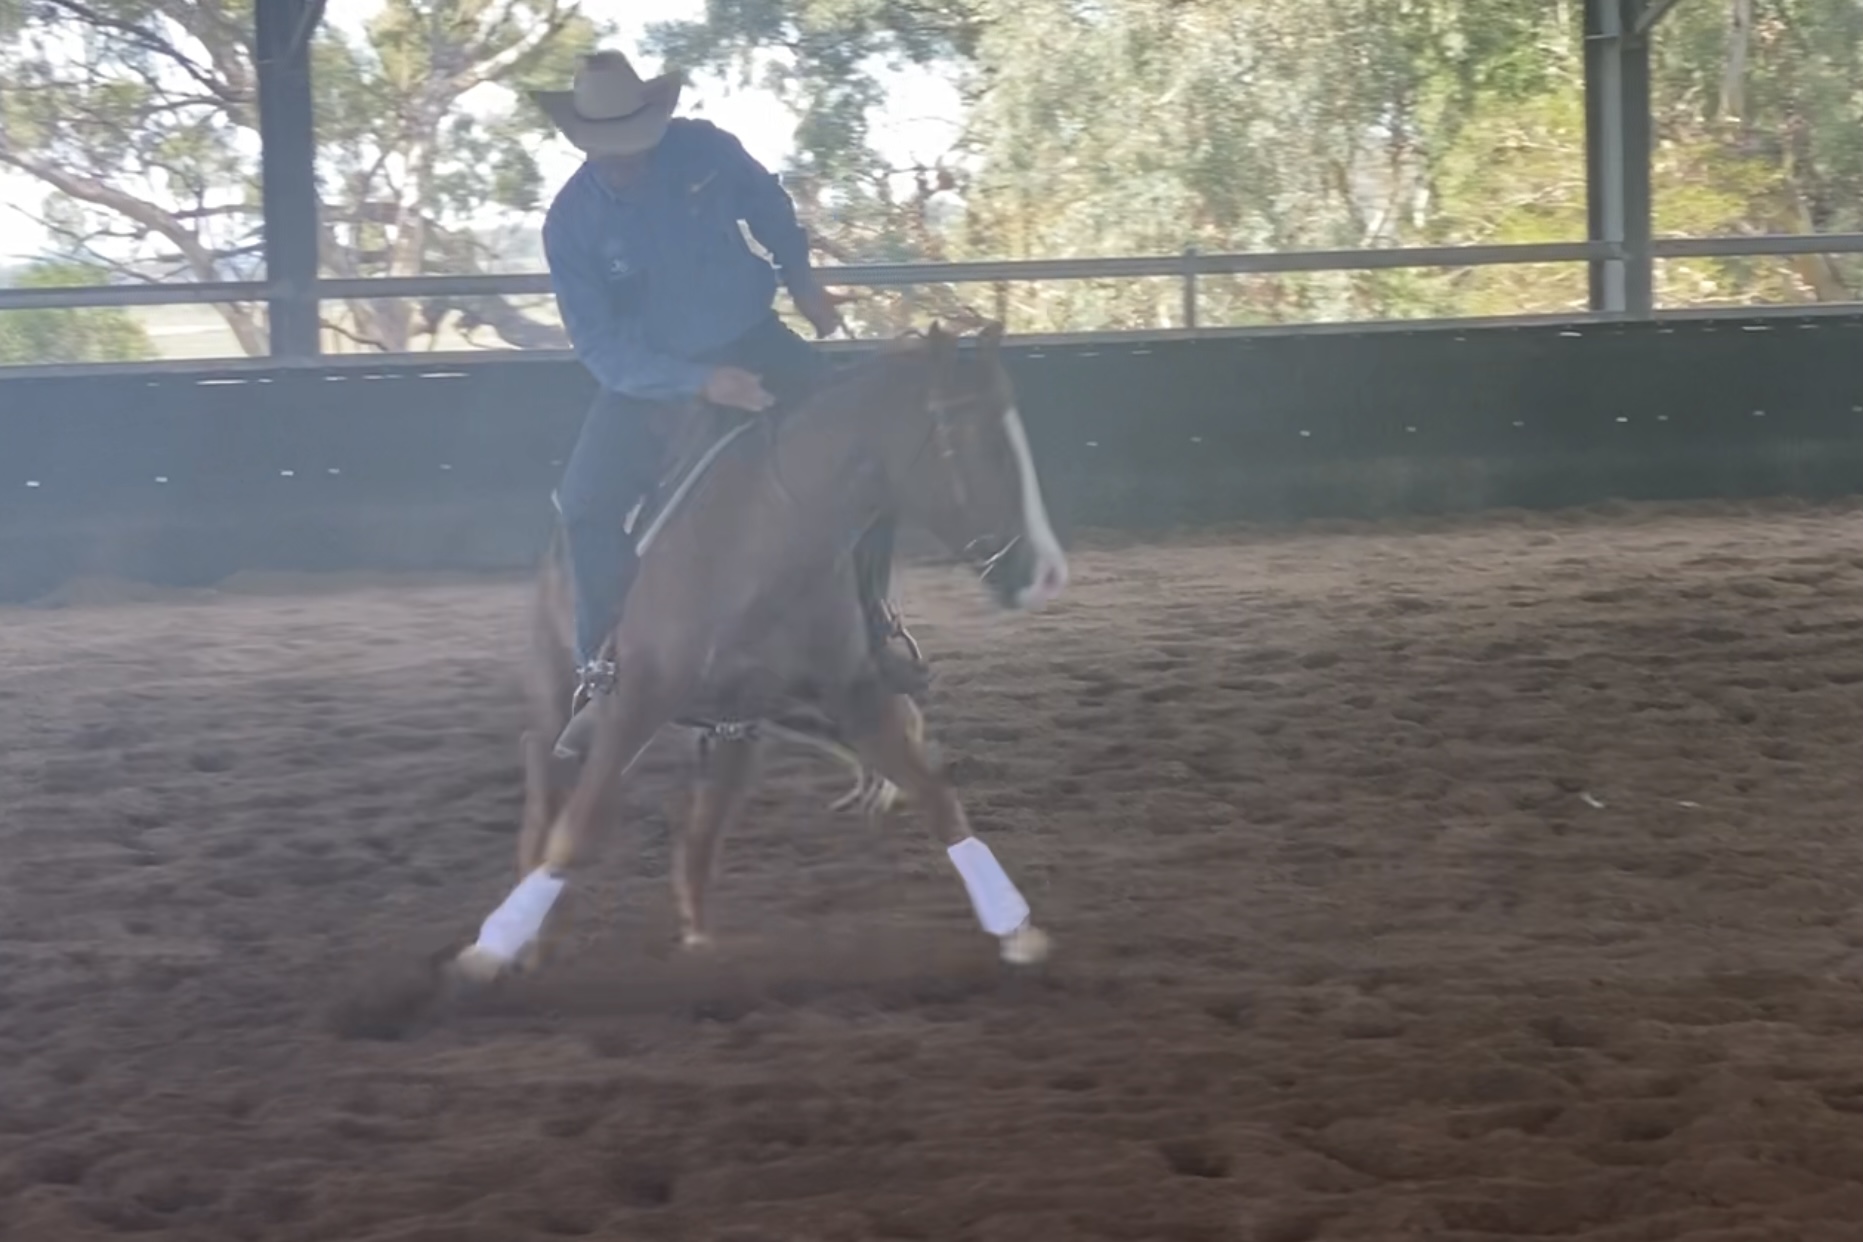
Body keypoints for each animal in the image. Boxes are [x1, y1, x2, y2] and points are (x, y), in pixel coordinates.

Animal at [452, 321, 1070, 983]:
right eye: (981, 443)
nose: (1049, 574)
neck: (766, 533)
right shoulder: (635, 700)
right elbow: (580, 829)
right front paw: (490, 946)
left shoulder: (855, 694)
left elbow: (937, 799)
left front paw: (1015, 928)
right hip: (558, 698)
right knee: (547, 784)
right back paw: (534, 934)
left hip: (735, 730)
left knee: (703, 832)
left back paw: (696, 939)